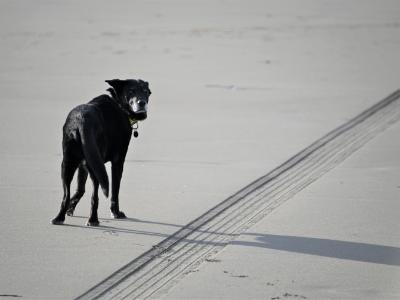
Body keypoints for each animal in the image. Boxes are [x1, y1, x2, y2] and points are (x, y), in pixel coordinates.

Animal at [50, 78, 150, 226]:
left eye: (145, 91)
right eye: (131, 91)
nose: (141, 102)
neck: (118, 103)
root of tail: (82, 120)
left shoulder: (83, 164)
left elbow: (80, 189)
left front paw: (70, 208)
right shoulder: (118, 162)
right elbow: (115, 191)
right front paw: (116, 212)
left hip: (68, 163)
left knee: (66, 194)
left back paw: (59, 217)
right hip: (95, 167)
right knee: (95, 195)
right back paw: (93, 219)